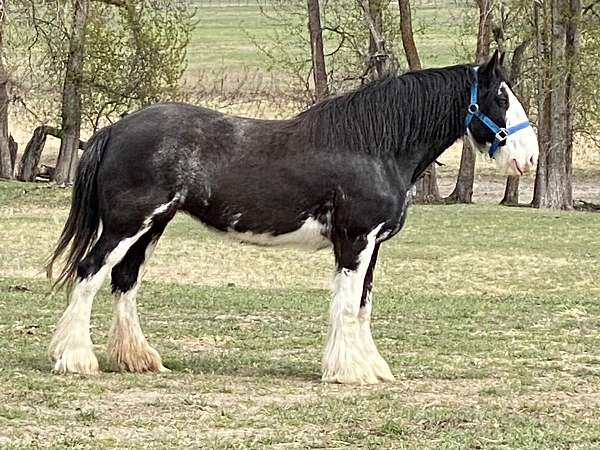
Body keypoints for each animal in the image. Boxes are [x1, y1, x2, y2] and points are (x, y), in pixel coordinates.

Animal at [45, 51, 536, 384]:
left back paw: (139, 359)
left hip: (152, 227)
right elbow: (346, 305)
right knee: (89, 273)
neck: (374, 147)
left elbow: (363, 306)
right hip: (127, 225)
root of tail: (114, 130)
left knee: (124, 280)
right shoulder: (354, 241)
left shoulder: (373, 245)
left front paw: (371, 367)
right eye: (500, 96)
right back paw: (76, 359)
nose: (529, 158)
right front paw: (348, 371)